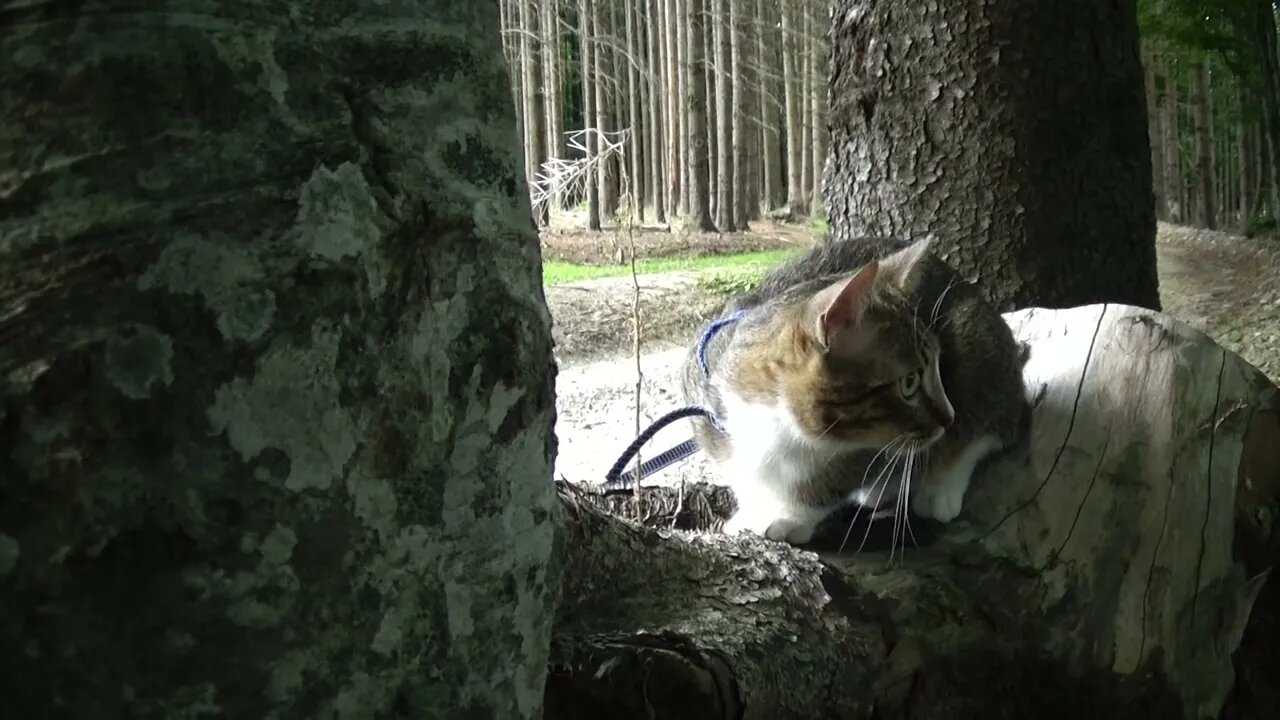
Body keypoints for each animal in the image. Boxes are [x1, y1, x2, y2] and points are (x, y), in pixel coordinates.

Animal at [680, 235, 1029, 543]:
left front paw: (789, 515)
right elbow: (737, 469)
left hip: (979, 343)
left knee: (994, 417)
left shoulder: (875, 443)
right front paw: (754, 503)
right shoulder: (708, 409)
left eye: (936, 368)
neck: (782, 427)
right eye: (909, 383)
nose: (948, 417)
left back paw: (939, 485)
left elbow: (834, 477)